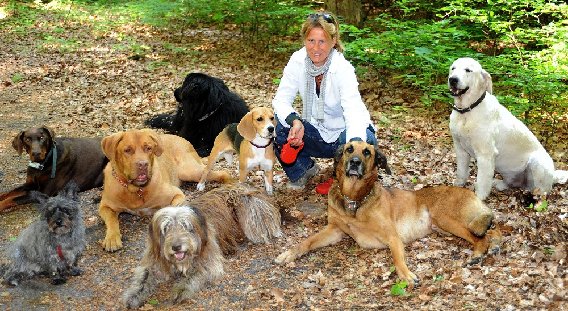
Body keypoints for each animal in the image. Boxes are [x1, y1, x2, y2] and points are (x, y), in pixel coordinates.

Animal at [98, 128, 232, 252]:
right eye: (127, 150)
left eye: (148, 148)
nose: (143, 164)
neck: (136, 190)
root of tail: (182, 138)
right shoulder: (104, 206)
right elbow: (112, 220)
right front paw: (111, 238)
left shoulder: (177, 194)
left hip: (188, 171)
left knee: (221, 172)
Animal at [124, 184, 284, 308]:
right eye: (166, 228)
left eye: (185, 226)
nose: (176, 247)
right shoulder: (154, 259)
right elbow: (144, 277)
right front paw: (133, 295)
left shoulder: (209, 259)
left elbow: (195, 273)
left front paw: (181, 289)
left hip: (248, 205)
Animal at [276, 143, 502, 286]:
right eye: (349, 149)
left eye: (367, 152)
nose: (355, 162)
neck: (355, 200)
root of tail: (470, 192)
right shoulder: (335, 230)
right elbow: (308, 241)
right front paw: (290, 253)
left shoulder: (393, 236)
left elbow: (397, 259)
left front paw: (406, 275)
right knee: (493, 229)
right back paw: (493, 246)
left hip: (445, 218)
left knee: (484, 234)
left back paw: (478, 253)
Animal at [450, 58, 564, 200]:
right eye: (453, 68)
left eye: (468, 70)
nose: (452, 79)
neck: (466, 111)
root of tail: (553, 176)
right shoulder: (460, 149)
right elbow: (461, 172)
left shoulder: (485, 154)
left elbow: (482, 181)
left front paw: (479, 199)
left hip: (537, 163)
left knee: (542, 192)